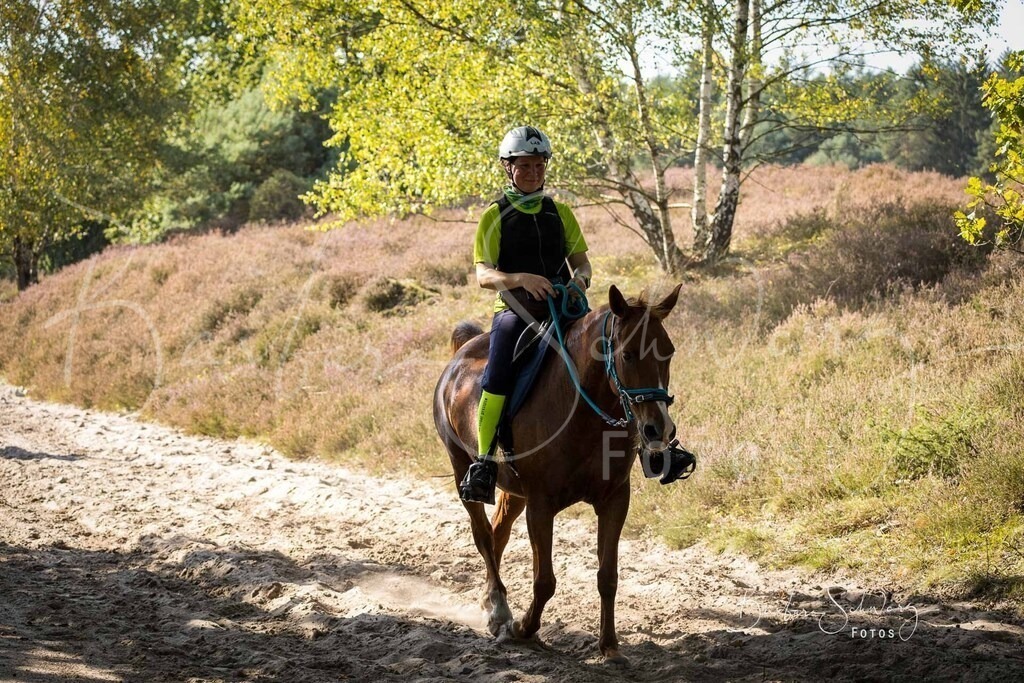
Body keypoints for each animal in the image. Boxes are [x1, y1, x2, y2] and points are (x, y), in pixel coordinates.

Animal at [432, 283, 682, 664]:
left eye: (667, 353)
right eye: (627, 356)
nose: (659, 429)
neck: (582, 413)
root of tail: (462, 353)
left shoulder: (614, 500)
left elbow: (608, 577)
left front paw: (610, 646)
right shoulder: (541, 505)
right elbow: (544, 580)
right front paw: (524, 629)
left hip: (512, 489)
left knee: (498, 533)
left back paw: (491, 600)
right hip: (462, 467)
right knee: (483, 535)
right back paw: (500, 611)